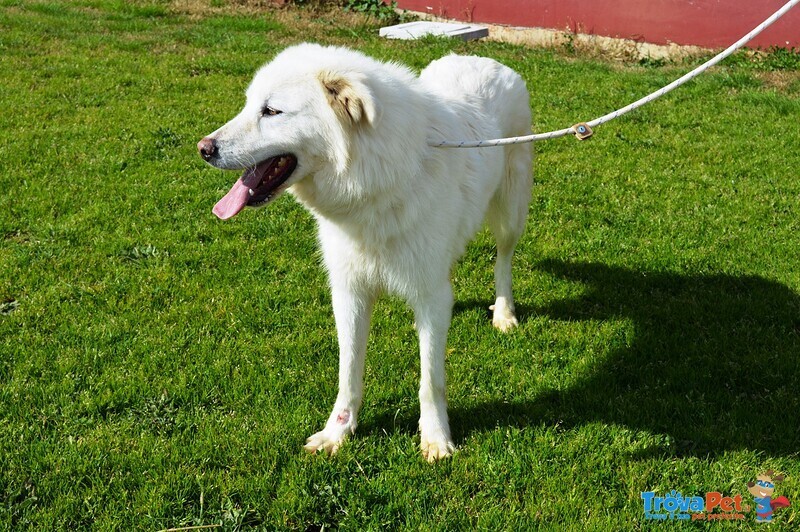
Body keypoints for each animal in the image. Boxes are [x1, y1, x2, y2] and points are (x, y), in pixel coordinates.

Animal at [196, 44, 532, 462]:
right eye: (248, 105)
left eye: (272, 111)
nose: (203, 149)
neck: (375, 182)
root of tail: (485, 59)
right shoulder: (349, 292)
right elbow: (349, 372)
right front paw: (338, 432)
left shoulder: (429, 296)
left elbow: (430, 380)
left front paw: (435, 438)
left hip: (510, 212)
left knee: (504, 259)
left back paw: (504, 313)